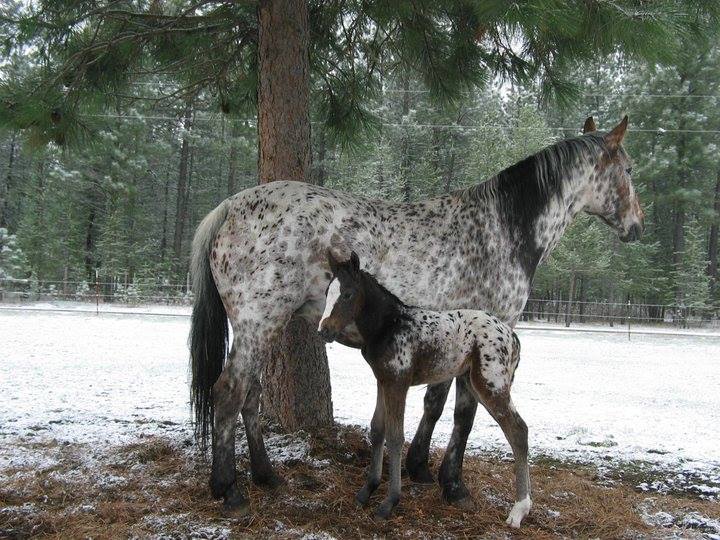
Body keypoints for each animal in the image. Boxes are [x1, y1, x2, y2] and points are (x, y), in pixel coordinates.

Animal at [320, 251, 528, 524]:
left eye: (347, 294)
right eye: (327, 292)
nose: (324, 330)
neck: (389, 325)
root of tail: (511, 336)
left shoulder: (398, 383)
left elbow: (395, 437)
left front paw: (389, 503)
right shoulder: (382, 381)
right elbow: (377, 430)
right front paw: (366, 491)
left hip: (491, 384)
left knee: (519, 430)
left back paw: (519, 510)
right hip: (474, 382)